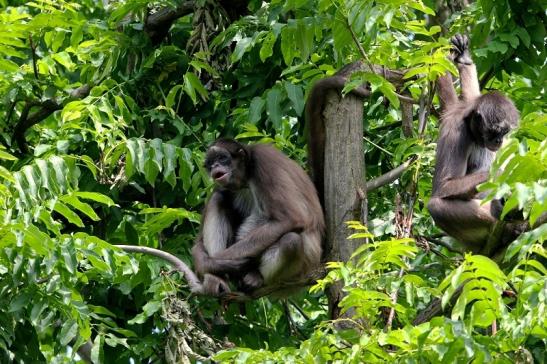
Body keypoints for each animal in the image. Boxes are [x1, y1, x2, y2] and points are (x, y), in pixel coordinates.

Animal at [192, 139, 324, 296]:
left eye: (222, 158)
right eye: (211, 162)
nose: (215, 166)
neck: (246, 177)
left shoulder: (263, 161)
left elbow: (292, 218)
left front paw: (209, 263)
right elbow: (199, 242)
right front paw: (213, 264)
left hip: (302, 266)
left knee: (291, 240)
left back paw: (256, 276)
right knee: (218, 198)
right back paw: (217, 279)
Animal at [428, 34, 524, 253]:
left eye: (504, 131)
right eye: (494, 131)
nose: (498, 140)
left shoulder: (469, 105)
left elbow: (471, 94)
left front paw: (464, 59)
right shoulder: (455, 132)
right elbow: (443, 186)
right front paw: (498, 175)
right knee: (435, 206)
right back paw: (504, 218)